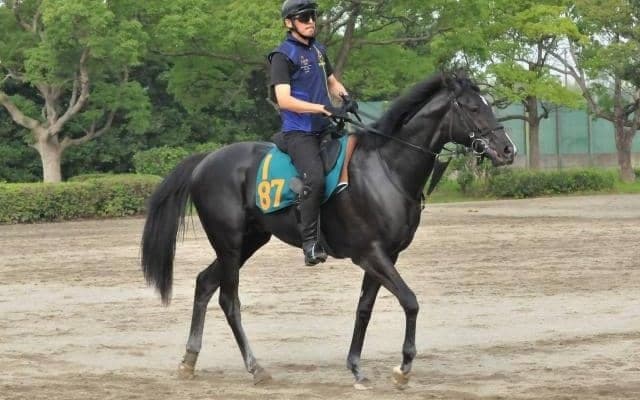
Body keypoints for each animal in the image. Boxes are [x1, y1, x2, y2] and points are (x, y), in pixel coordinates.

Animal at [140, 71, 516, 389]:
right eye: (473, 107)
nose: (507, 149)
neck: (387, 168)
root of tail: (205, 160)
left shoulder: (386, 256)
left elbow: (364, 309)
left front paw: (356, 367)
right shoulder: (371, 254)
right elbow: (410, 302)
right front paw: (403, 369)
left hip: (249, 241)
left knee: (205, 283)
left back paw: (189, 360)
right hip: (230, 244)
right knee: (229, 300)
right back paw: (255, 368)